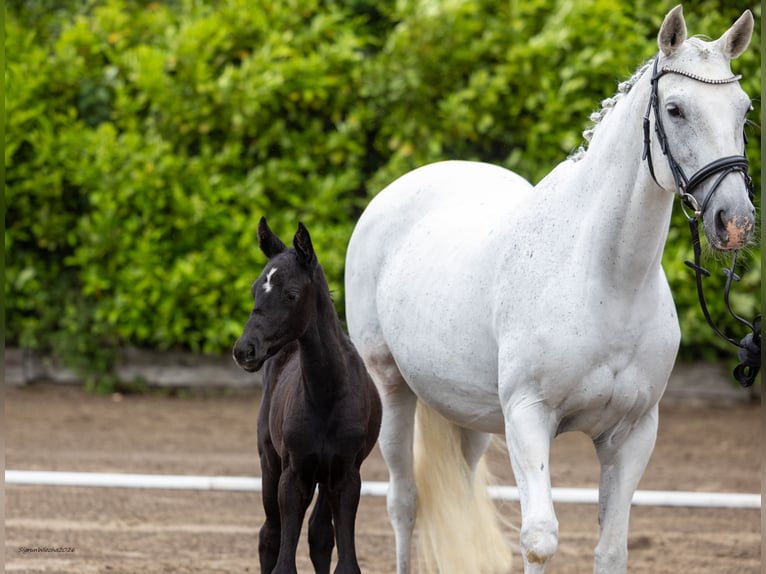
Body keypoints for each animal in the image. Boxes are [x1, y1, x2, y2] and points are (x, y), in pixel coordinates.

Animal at [233, 217, 382, 574]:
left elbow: (344, 559)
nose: (245, 350)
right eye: (255, 289)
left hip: (325, 477)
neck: (326, 396)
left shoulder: (347, 475)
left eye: (291, 294)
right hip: (270, 461)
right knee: (269, 535)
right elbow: (284, 562)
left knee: (319, 535)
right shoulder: (293, 475)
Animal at [344, 6, 755, 574]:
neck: (605, 281)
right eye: (675, 110)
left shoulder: (632, 432)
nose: (734, 222)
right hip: (391, 387)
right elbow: (539, 539)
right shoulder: (528, 417)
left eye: (744, 110)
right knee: (404, 502)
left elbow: (611, 549)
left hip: (468, 414)